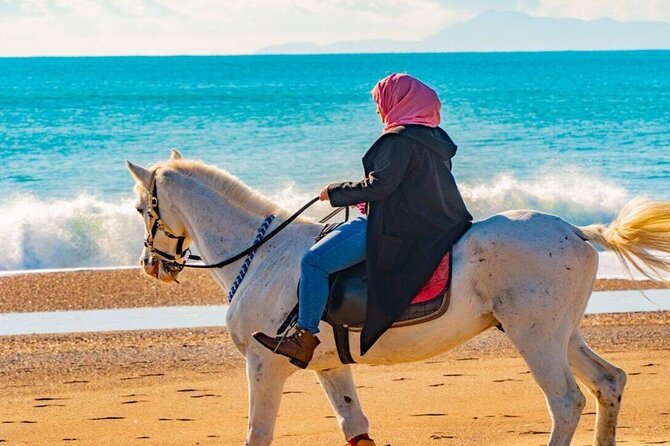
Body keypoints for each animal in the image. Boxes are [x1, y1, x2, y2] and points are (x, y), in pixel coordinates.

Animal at [126, 150, 670, 446]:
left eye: (139, 209)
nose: (152, 265)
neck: (263, 254)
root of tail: (575, 230)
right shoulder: (328, 366)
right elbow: (355, 425)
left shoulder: (264, 365)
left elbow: (258, 433)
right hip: (563, 335)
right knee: (608, 383)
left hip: (535, 338)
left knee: (566, 402)